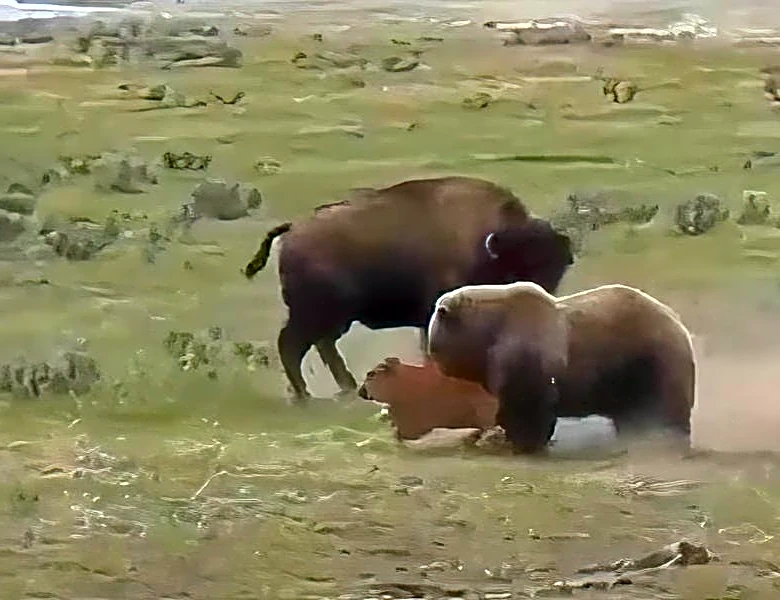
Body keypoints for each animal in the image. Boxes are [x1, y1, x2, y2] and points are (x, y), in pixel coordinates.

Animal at [243, 175, 574, 400]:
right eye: (520, 266)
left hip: (333, 318)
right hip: (316, 314)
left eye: (557, 268)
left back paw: (343, 389)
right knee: (292, 345)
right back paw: (306, 395)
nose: (539, 296)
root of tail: (294, 229)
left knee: (320, 346)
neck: (488, 245)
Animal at [427, 282, 696, 454]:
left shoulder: (526, 350)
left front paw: (521, 441)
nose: (433, 356)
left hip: (650, 359)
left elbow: (528, 401)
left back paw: (665, 439)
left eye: (433, 335)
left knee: (664, 406)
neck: (488, 335)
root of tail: (678, 322)